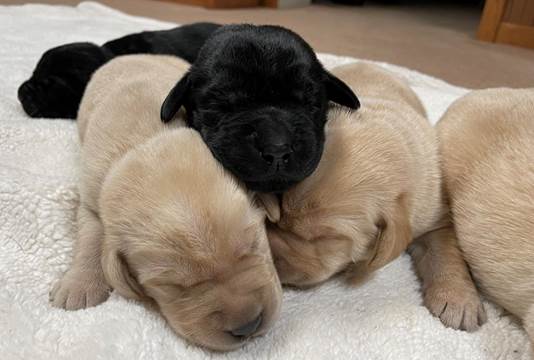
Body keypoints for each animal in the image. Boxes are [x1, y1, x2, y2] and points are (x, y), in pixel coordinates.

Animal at [49, 54, 282, 350]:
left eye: (252, 246)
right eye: (174, 286)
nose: (248, 326)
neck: (146, 140)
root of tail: (127, 55)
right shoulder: (91, 196)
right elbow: (91, 236)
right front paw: (78, 286)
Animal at [262, 62, 488, 332]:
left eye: (324, 238)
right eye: (276, 213)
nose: (268, 257)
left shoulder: (435, 216)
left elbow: (445, 252)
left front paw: (457, 300)